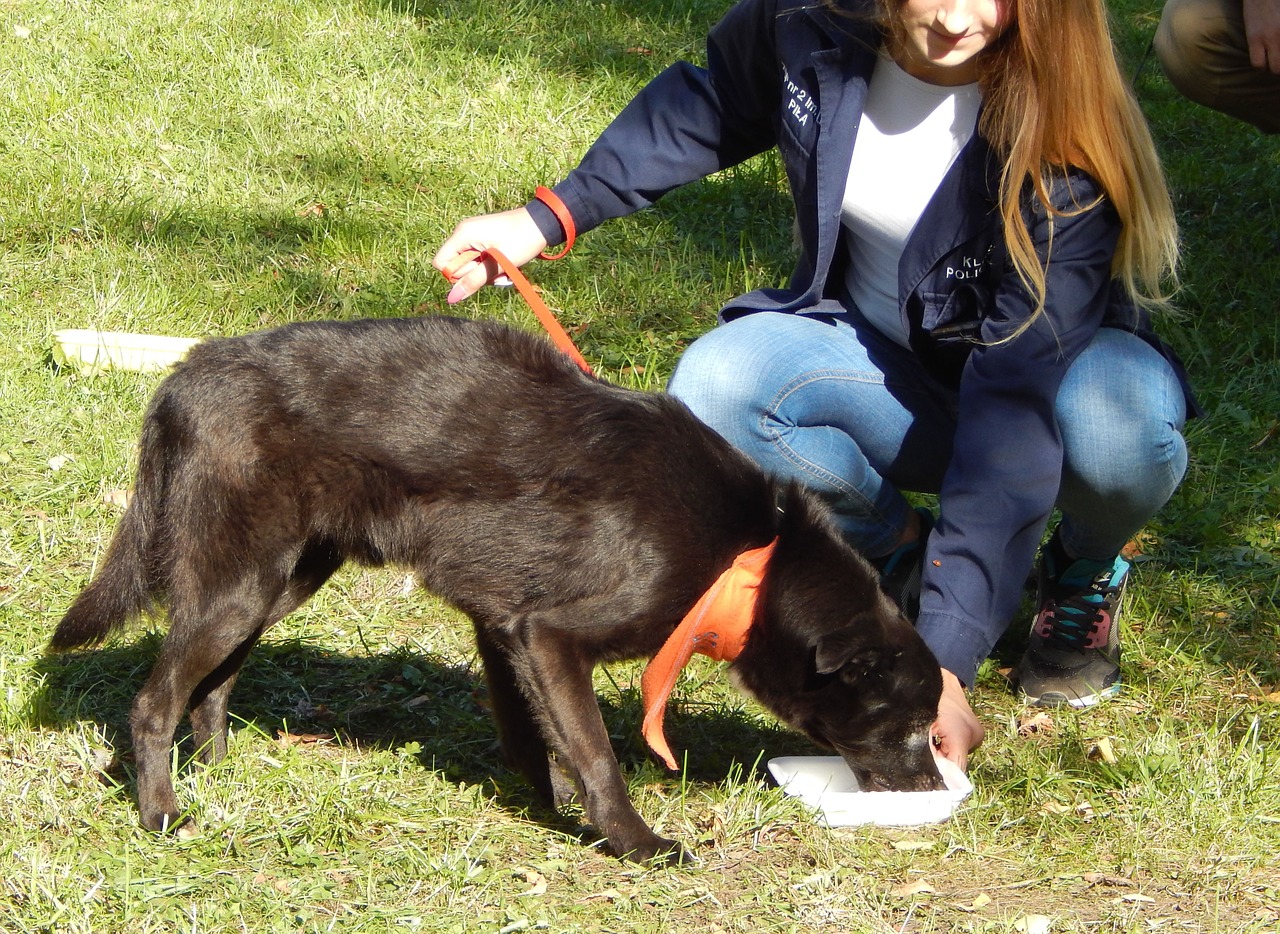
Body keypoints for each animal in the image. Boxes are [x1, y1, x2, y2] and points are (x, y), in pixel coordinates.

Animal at [47, 316, 942, 859]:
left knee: (212, 685)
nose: (939, 790)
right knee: (153, 701)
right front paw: (634, 842)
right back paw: (163, 813)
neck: (749, 560)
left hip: (272, 583)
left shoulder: (504, 625)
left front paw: (545, 805)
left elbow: (533, 735)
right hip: (238, 588)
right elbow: (595, 752)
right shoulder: (549, 635)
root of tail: (183, 378)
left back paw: (220, 769)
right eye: (914, 725)